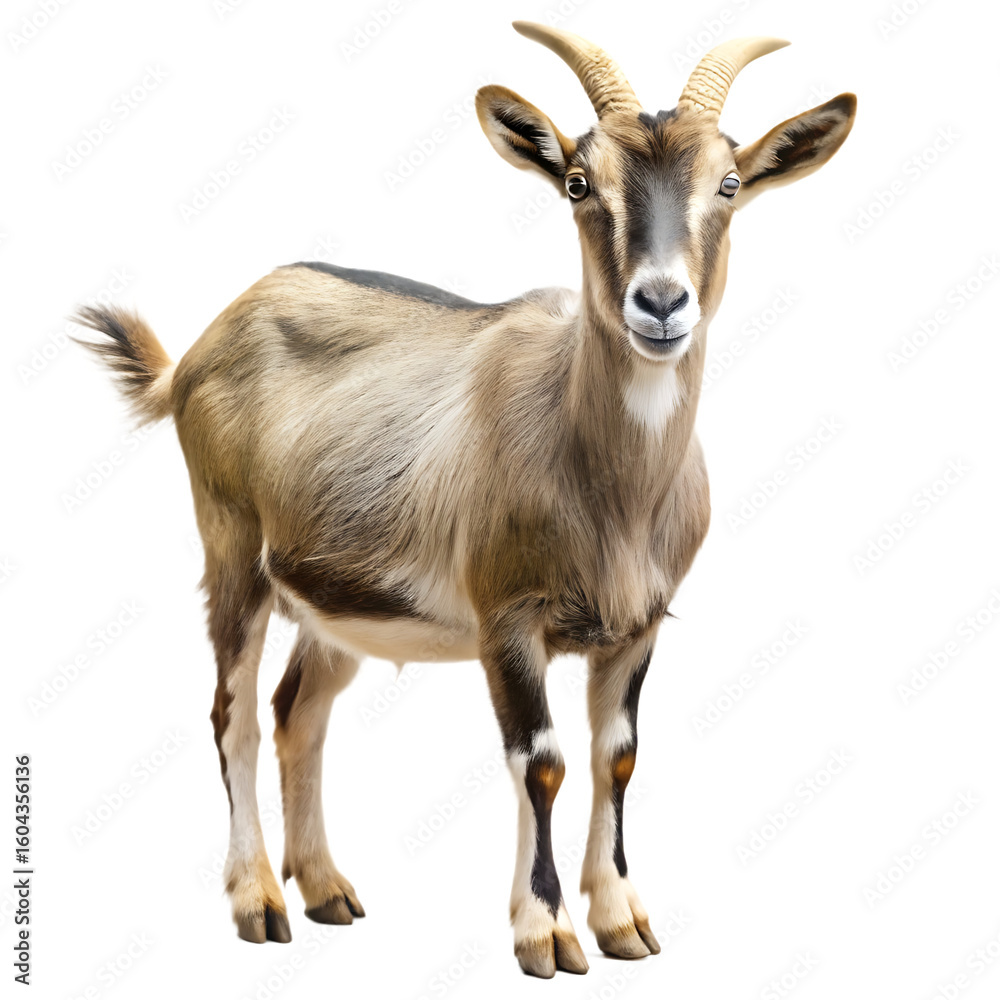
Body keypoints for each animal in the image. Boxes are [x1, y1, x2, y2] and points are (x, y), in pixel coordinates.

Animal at [75, 21, 855, 979]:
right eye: (579, 181)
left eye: (731, 183)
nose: (661, 303)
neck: (609, 490)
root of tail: (193, 353)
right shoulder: (507, 620)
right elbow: (542, 761)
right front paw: (546, 933)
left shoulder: (636, 627)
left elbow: (618, 759)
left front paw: (623, 922)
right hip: (232, 554)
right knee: (234, 715)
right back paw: (258, 901)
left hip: (341, 601)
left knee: (298, 712)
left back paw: (327, 889)